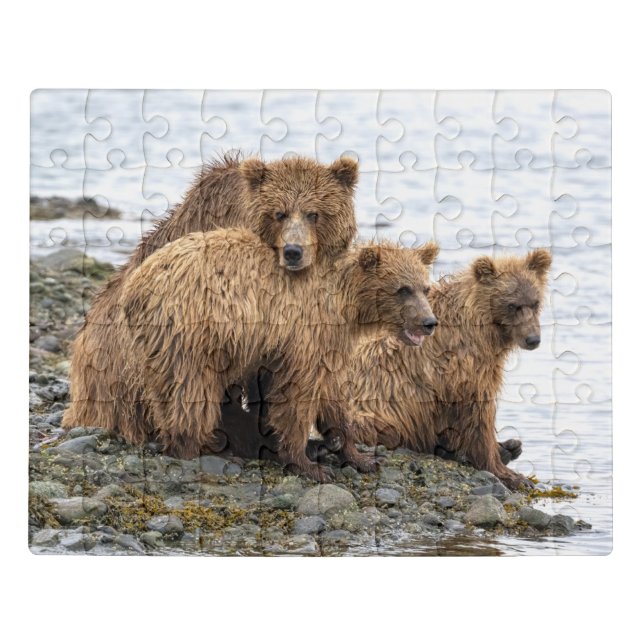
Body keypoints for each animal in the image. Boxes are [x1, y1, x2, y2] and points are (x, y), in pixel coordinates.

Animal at [117, 229, 439, 482]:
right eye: (403, 289)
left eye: (425, 287)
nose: (429, 322)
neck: (346, 303)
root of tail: (134, 286)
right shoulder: (305, 333)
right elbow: (296, 395)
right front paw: (308, 465)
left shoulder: (329, 344)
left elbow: (333, 395)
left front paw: (360, 457)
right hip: (191, 331)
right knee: (192, 391)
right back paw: (203, 447)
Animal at [350, 249, 552, 490]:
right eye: (512, 305)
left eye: (535, 302)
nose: (533, 339)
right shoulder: (463, 367)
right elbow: (478, 414)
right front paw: (509, 474)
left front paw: (505, 451)